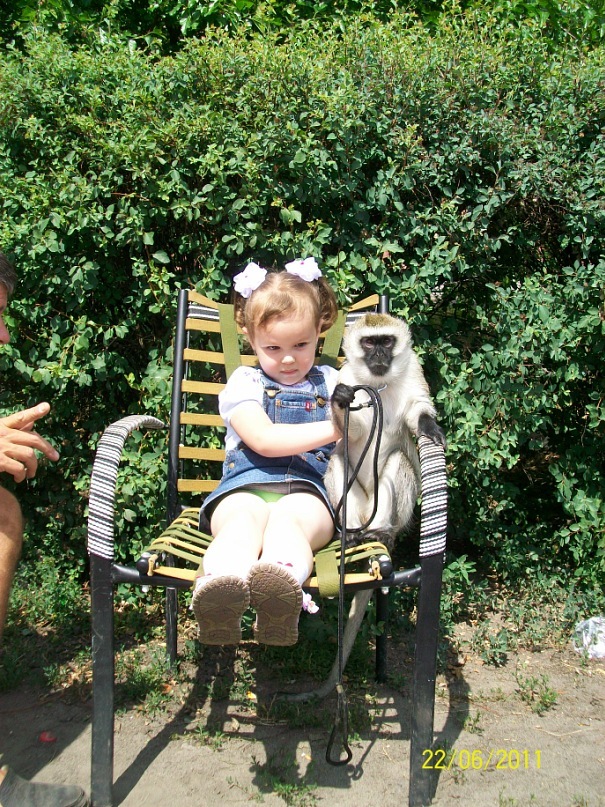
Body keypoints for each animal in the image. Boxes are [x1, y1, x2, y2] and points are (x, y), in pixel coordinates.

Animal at [325, 312, 446, 550]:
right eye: (370, 342)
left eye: (387, 341)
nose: (380, 353)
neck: (379, 383)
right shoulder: (346, 375)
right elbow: (352, 433)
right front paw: (340, 399)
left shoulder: (413, 367)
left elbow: (418, 407)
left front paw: (429, 426)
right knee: (339, 459)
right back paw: (349, 534)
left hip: (389, 511)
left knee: (399, 459)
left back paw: (381, 531)